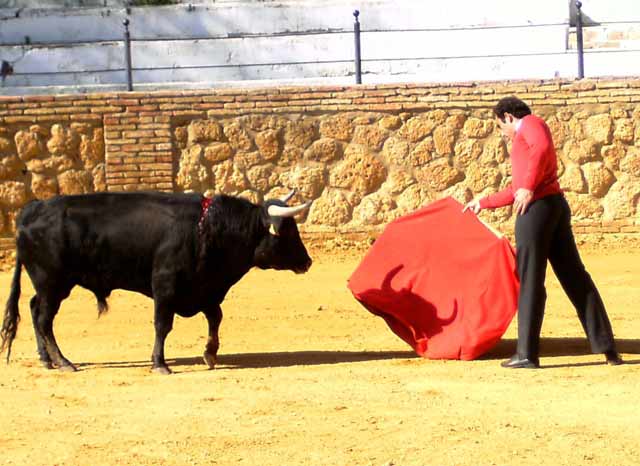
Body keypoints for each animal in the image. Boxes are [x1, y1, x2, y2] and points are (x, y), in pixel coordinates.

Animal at [0, 189, 312, 374]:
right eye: (288, 233)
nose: (307, 262)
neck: (208, 229)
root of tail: (32, 209)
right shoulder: (165, 287)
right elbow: (163, 325)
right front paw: (160, 364)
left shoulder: (205, 289)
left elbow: (216, 317)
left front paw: (210, 354)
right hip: (53, 283)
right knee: (44, 319)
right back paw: (64, 362)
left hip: (47, 285)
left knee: (34, 309)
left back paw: (46, 359)